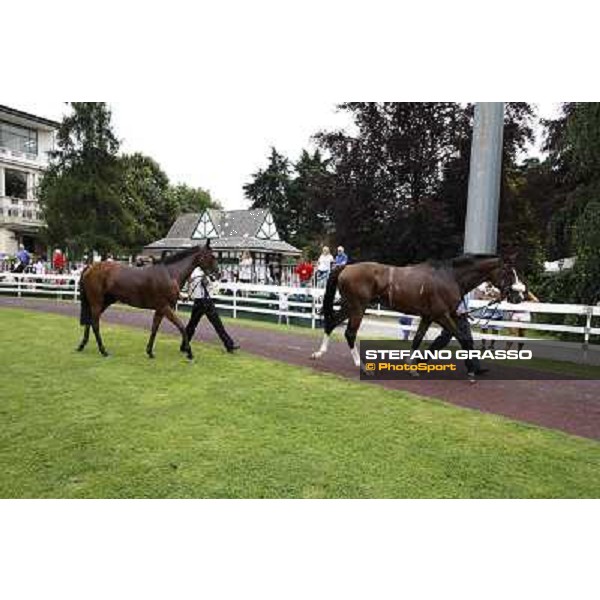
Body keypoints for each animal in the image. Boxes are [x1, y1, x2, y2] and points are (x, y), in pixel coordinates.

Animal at [74, 241, 216, 358]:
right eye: (212, 256)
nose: (216, 274)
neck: (170, 274)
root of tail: (90, 267)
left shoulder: (160, 309)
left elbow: (154, 328)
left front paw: (150, 351)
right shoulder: (165, 307)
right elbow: (181, 326)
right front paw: (189, 352)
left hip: (105, 302)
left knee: (90, 321)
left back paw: (82, 345)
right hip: (97, 302)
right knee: (95, 324)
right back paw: (103, 350)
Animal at [312, 252, 516, 370]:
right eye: (509, 272)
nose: (516, 295)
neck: (450, 277)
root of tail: (345, 267)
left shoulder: (428, 316)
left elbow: (418, 338)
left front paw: (411, 365)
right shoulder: (441, 315)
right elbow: (461, 337)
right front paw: (473, 369)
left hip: (349, 306)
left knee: (331, 323)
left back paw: (319, 353)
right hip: (358, 307)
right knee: (350, 333)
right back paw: (361, 365)